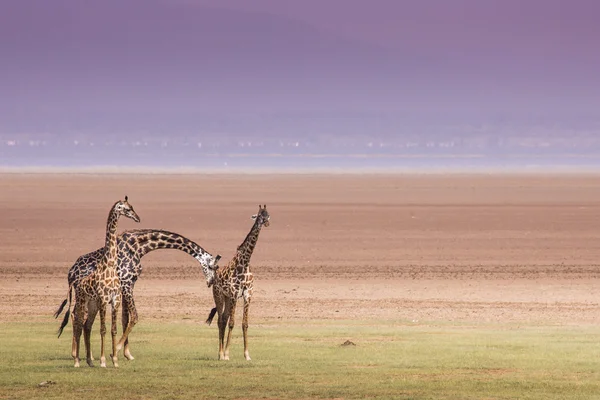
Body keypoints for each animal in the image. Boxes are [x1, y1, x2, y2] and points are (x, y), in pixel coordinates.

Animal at [54, 228, 220, 362]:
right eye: (212, 266)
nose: (211, 282)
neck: (139, 247)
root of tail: (71, 273)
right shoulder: (126, 283)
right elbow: (134, 316)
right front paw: (116, 350)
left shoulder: (129, 284)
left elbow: (125, 319)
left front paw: (127, 354)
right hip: (83, 294)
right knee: (76, 315)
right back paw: (75, 354)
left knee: (76, 315)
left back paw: (85, 355)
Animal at [60, 195, 141, 368]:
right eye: (127, 208)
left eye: (132, 207)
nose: (137, 218)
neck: (109, 265)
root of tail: (77, 283)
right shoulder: (104, 299)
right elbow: (103, 329)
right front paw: (104, 361)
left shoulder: (115, 300)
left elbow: (113, 329)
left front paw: (115, 360)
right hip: (82, 302)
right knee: (78, 324)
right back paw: (77, 361)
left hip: (92, 305)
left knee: (87, 325)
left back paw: (90, 361)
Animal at [207, 205, 270, 360]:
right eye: (259, 215)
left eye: (268, 215)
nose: (266, 223)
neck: (245, 263)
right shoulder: (235, 294)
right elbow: (232, 323)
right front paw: (227, 354)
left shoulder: (248, 295)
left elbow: (244, 324)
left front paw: (247, 355)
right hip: (219, 296)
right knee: (220, 320)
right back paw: (220, 354)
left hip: (227, 298)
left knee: (223, 319)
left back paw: (221, 353)